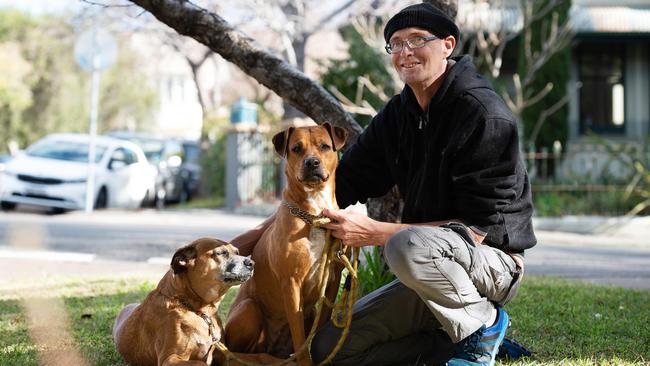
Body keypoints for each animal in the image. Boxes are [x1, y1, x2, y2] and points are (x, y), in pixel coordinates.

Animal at [111, 239, 284, 364]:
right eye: (221, 253)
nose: (251, 263)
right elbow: (199, 363)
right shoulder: (170, 358)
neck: (199, 310)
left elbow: (259, 356)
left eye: (237, 252)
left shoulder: (224, 355)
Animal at [223, 123, 344, 366]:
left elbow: (320, 325)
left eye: (325, 146)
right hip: (249, 309)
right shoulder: (291, 283)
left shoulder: (332, 280)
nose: (312, 162)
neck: (314, 215)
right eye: (296, 148)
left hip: (308, 312)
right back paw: (261, 358)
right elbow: (300, 339)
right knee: (235, 353)